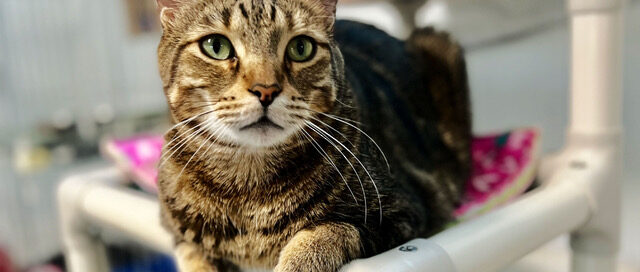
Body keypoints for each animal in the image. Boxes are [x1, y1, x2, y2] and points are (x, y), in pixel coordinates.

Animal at [156, 0, 470, 272]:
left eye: (301, 48)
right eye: (216, 46)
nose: (266, 90)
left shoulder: (404, 211)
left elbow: (327, 231)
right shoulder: (180, 235)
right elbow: (193, 257)